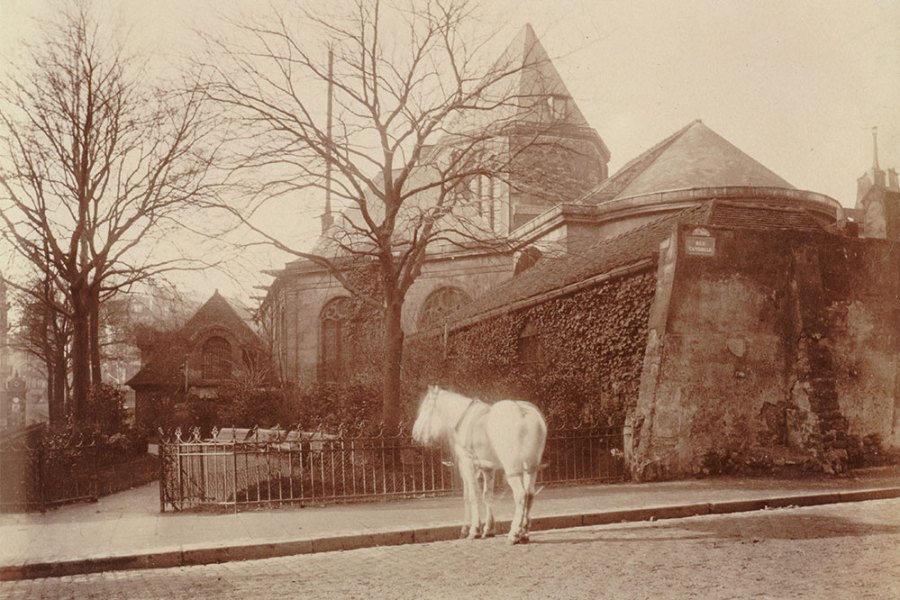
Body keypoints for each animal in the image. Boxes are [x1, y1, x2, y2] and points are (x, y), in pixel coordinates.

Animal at [412, 384, 544, 544]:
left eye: (425, 409)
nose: (415, 433)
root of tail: (524, 413)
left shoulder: (466, 463)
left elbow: (471, 495)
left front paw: (473, 530)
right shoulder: (488, 468)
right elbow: (487, 496)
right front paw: (489, 529)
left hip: (512, 467)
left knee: (521, 494)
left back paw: (514, 533)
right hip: (530, 466)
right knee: (530, 494)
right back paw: (524, 533)